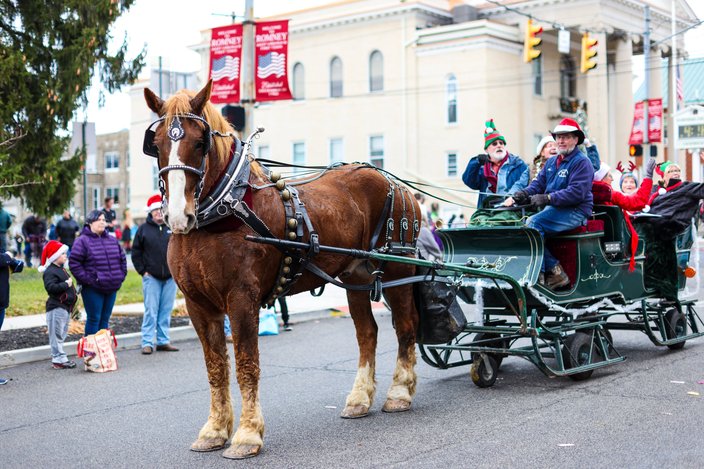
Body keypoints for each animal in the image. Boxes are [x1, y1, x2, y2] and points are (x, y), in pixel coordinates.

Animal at [142, 79, 418, 458]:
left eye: (200, 142)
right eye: (155, 146)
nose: (177, 216)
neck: (225, 212)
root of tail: (395, 183)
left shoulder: (242, 299)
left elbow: (246, 365)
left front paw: (247, 435)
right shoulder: (198, 304)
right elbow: (215, 367)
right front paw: (214, 430)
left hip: (396, 273)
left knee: (404, 327)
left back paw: (399, 393)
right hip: (356, 276)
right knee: (367, 333)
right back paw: (360, 399)